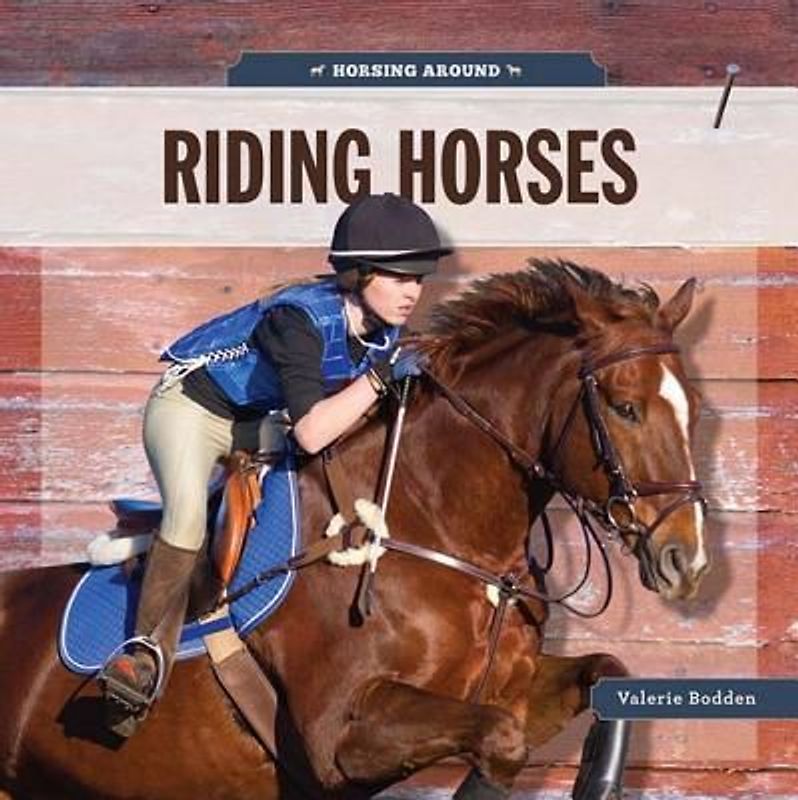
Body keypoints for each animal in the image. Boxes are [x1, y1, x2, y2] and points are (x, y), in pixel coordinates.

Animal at [0, 261, 709, 799]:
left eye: (695, 409)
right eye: (625, 408)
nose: (687, 562)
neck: (438, 526)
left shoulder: (511, 690)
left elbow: (601, 676)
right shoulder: (339, 736)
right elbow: (501, 742)